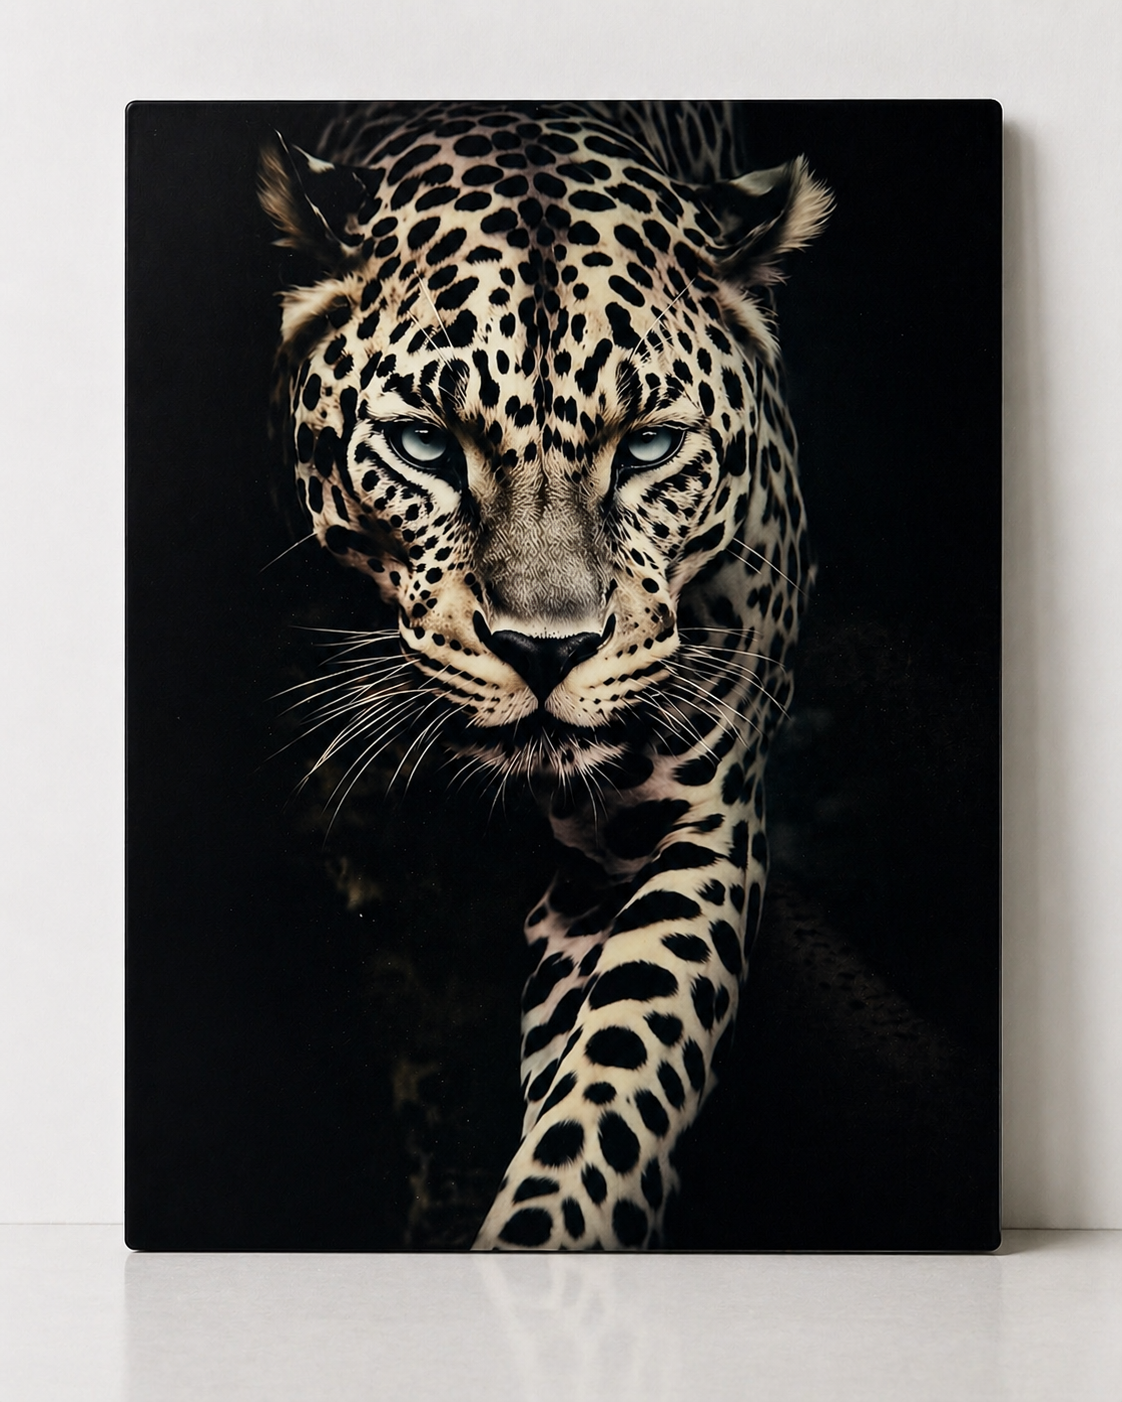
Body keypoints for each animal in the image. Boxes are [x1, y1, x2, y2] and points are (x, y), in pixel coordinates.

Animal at [259, 100, 830, 1249]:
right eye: (425, 445)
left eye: (649, 447)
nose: (546, 648)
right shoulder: (371, 861)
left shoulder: (685, 829)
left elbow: (614, 1085)